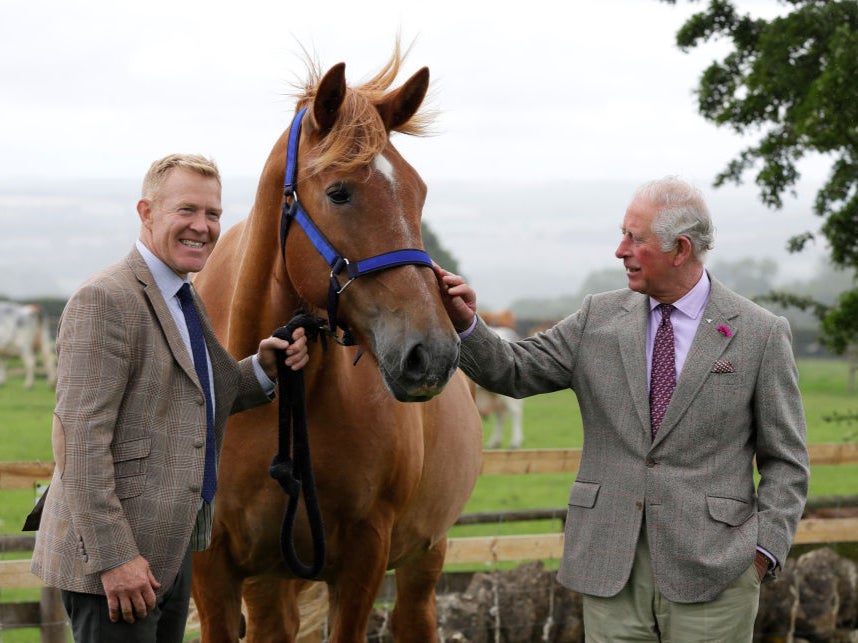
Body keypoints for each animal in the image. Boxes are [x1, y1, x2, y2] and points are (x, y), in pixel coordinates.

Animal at [190, 47, 482, 640]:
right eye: (339, 192)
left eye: (418, 193)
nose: (432, 354)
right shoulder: (213, 568)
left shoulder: (363, 555)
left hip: (424, 554)